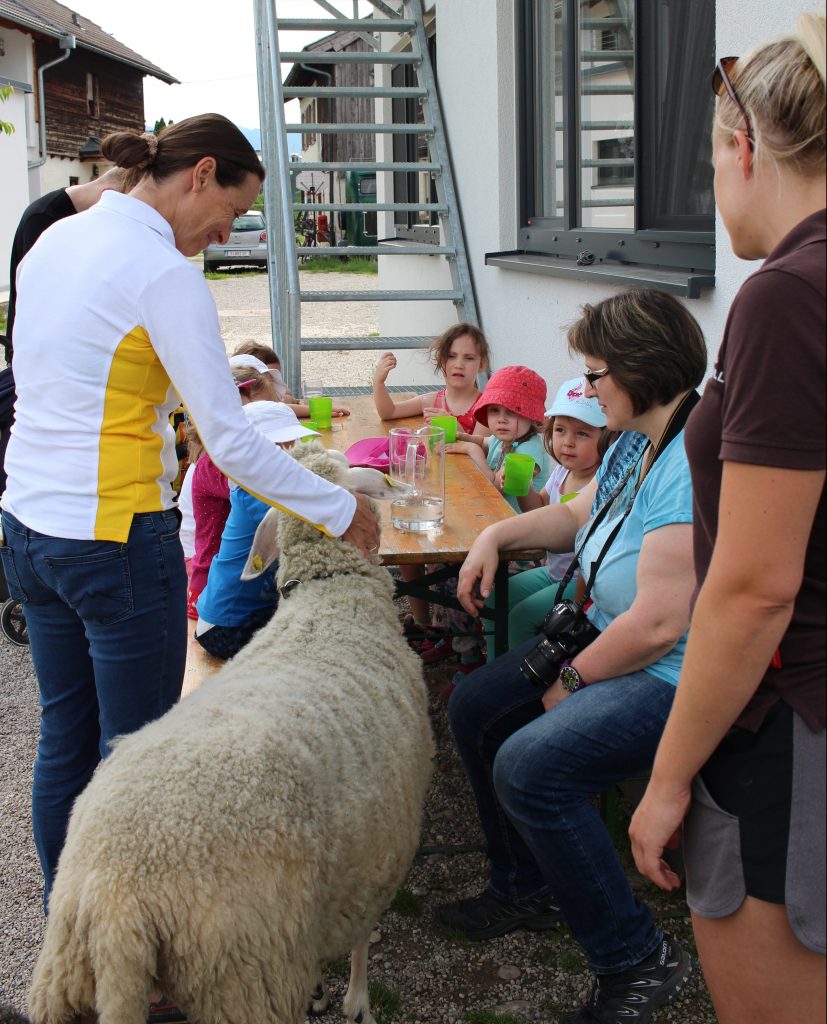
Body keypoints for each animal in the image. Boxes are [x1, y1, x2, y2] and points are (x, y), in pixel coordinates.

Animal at [29, 444, 436, 1024]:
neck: (331, 597)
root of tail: (116, 905)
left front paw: (323, 990)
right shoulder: (379, 848)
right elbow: (360, 939)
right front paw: (357, 1000)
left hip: (62, 976)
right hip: (244, 976)